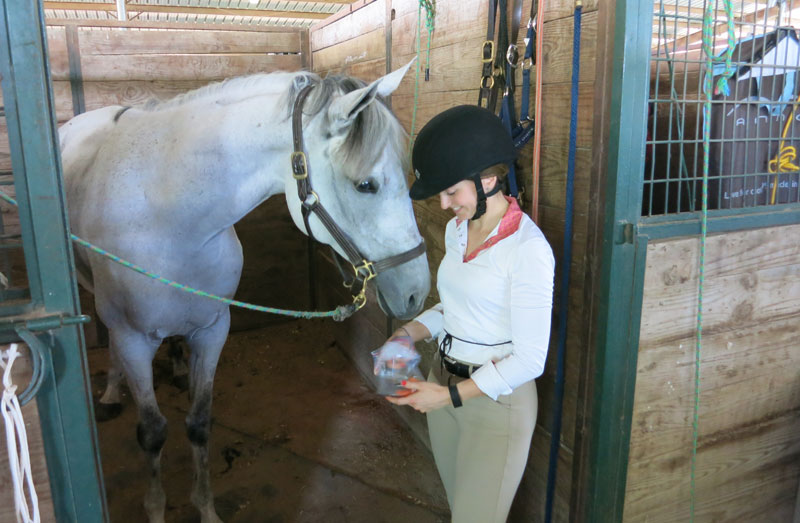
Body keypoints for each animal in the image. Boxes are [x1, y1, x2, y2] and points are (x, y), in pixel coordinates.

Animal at [58, 61, 430, 522]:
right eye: (366, 185)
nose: (417, 290)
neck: (168, 216)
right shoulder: (133, 339)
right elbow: (153, 432)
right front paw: (157, 507)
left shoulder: (213, 329)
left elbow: (200, 423)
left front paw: (206, 508)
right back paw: (110, 390)